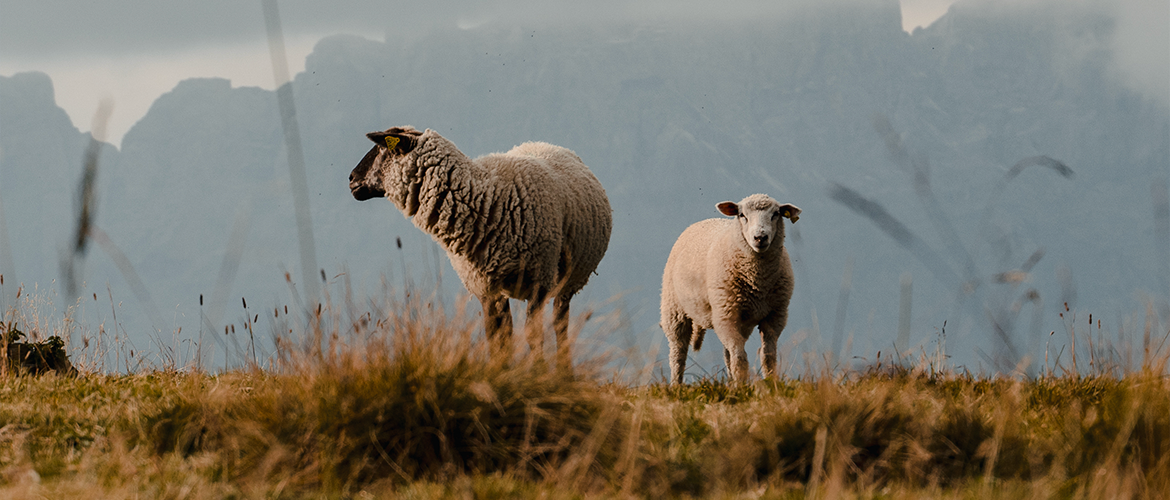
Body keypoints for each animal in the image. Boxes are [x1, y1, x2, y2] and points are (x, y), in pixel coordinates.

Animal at [349, 126, 612, 368]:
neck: (487, 200)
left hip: (569, 279)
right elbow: (496, 339)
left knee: (560, 323)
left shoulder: (539, 279)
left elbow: (534, 336)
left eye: (381, 148)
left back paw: (564, 373)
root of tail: (544, 143)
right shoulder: (485, 289)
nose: (351, 179)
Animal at [660, 194, 801, 384]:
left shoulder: (775, 316)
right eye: (742, 215)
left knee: (727, 354)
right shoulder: (726, 314)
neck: (757, 280)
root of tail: (704, 220)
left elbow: (768, 357)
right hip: (676, 311)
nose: (760, 237)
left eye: (776, 214)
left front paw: (771, 383)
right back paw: (676, 385)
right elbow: (740, 358)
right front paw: (742, 386)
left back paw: (730, 382)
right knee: (678, 353)